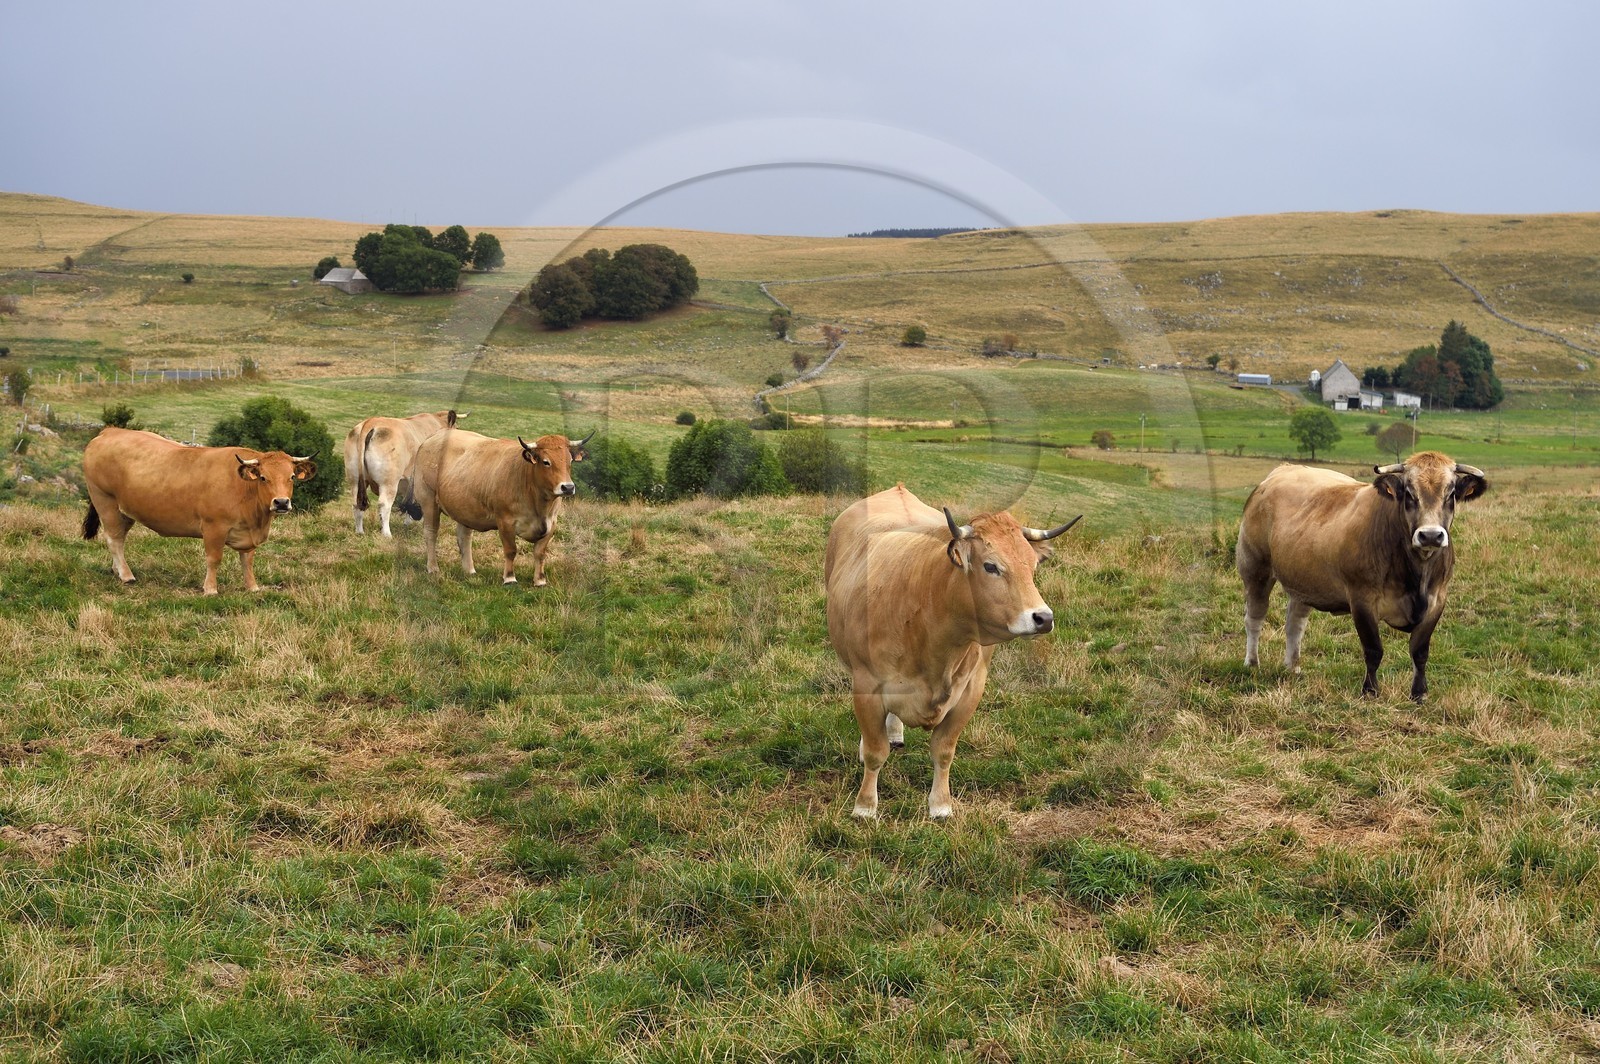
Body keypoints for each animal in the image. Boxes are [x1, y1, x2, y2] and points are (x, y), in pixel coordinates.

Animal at [82, 426, 318, 595]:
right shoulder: (214, 527)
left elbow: (247, 560)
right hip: (105, 501)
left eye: (292, 477)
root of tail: (110, 431)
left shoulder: (248, 533)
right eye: (263, 478)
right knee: (114, 538)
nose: (281, 502)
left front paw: (252, 587)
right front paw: (210, 589)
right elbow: (214, 559)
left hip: (125, 510)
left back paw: (116, 569)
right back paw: (126, 575)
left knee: (120, 538)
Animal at [409, 426, 592, 586]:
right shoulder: (505, 521)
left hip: (464, 507)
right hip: (428, 500)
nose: (568, 487)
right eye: (546, 462)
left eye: (569, 461)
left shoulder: (551, 523)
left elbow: (540, 553)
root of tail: (435, 437)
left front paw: (540, 580)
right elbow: (511, 550)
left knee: (464, 536)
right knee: (431, 533)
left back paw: (469, 570)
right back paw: (433, 568)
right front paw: (509, 578)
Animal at [825, 484, 1081, 819]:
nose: (1043, 618)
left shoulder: (970, 691)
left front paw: (941, 805)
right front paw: (865, 807)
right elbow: (874, 751)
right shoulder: (866, 685)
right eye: (990, 566)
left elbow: (944, 751)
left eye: (1033, 566)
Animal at [1237, 450, 1487, 701]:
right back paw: (1252, 663)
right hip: (1255, 568)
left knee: (1294, 623)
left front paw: (1419, 694)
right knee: (1255, 617)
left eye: (1451, 494)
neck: (1417, 573)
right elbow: (1373, 649)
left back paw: (1293, 666)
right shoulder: (1362, 600)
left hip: (1302, 579)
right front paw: (1370, 691)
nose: (1431, 535)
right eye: (1409, 493)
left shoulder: (1437, 601)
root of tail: (1283, 469)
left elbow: (1419, 651)